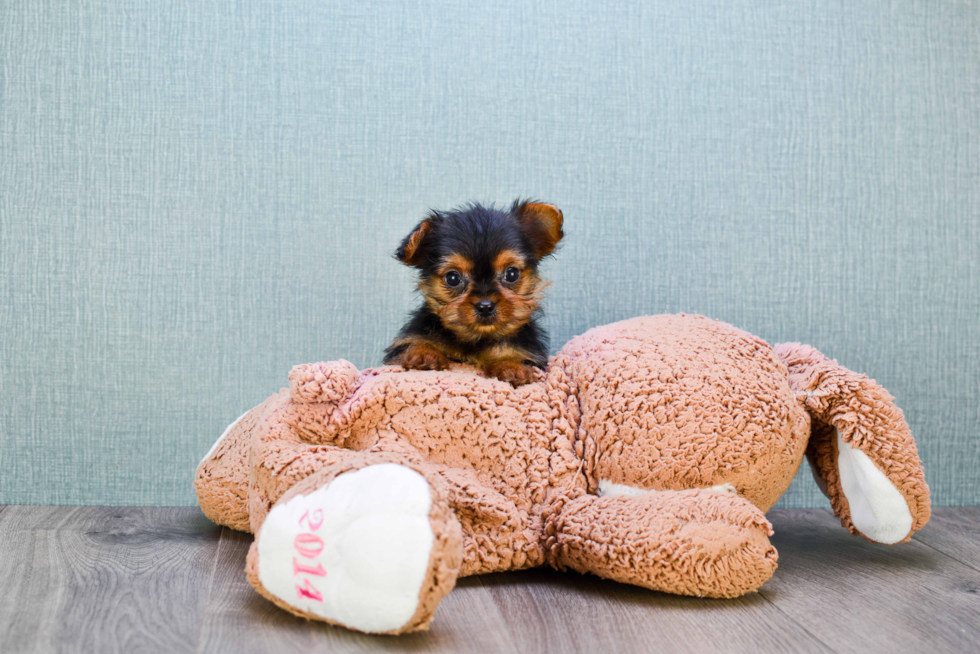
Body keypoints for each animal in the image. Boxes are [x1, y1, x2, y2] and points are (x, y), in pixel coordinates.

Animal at [384, 200, 568, 384]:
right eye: (452, 278)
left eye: (512, 274)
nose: (485, 306)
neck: (475, 340)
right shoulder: (414, 337)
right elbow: (418, 343)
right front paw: (424, 354)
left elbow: (508, 353)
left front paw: (511, 367)